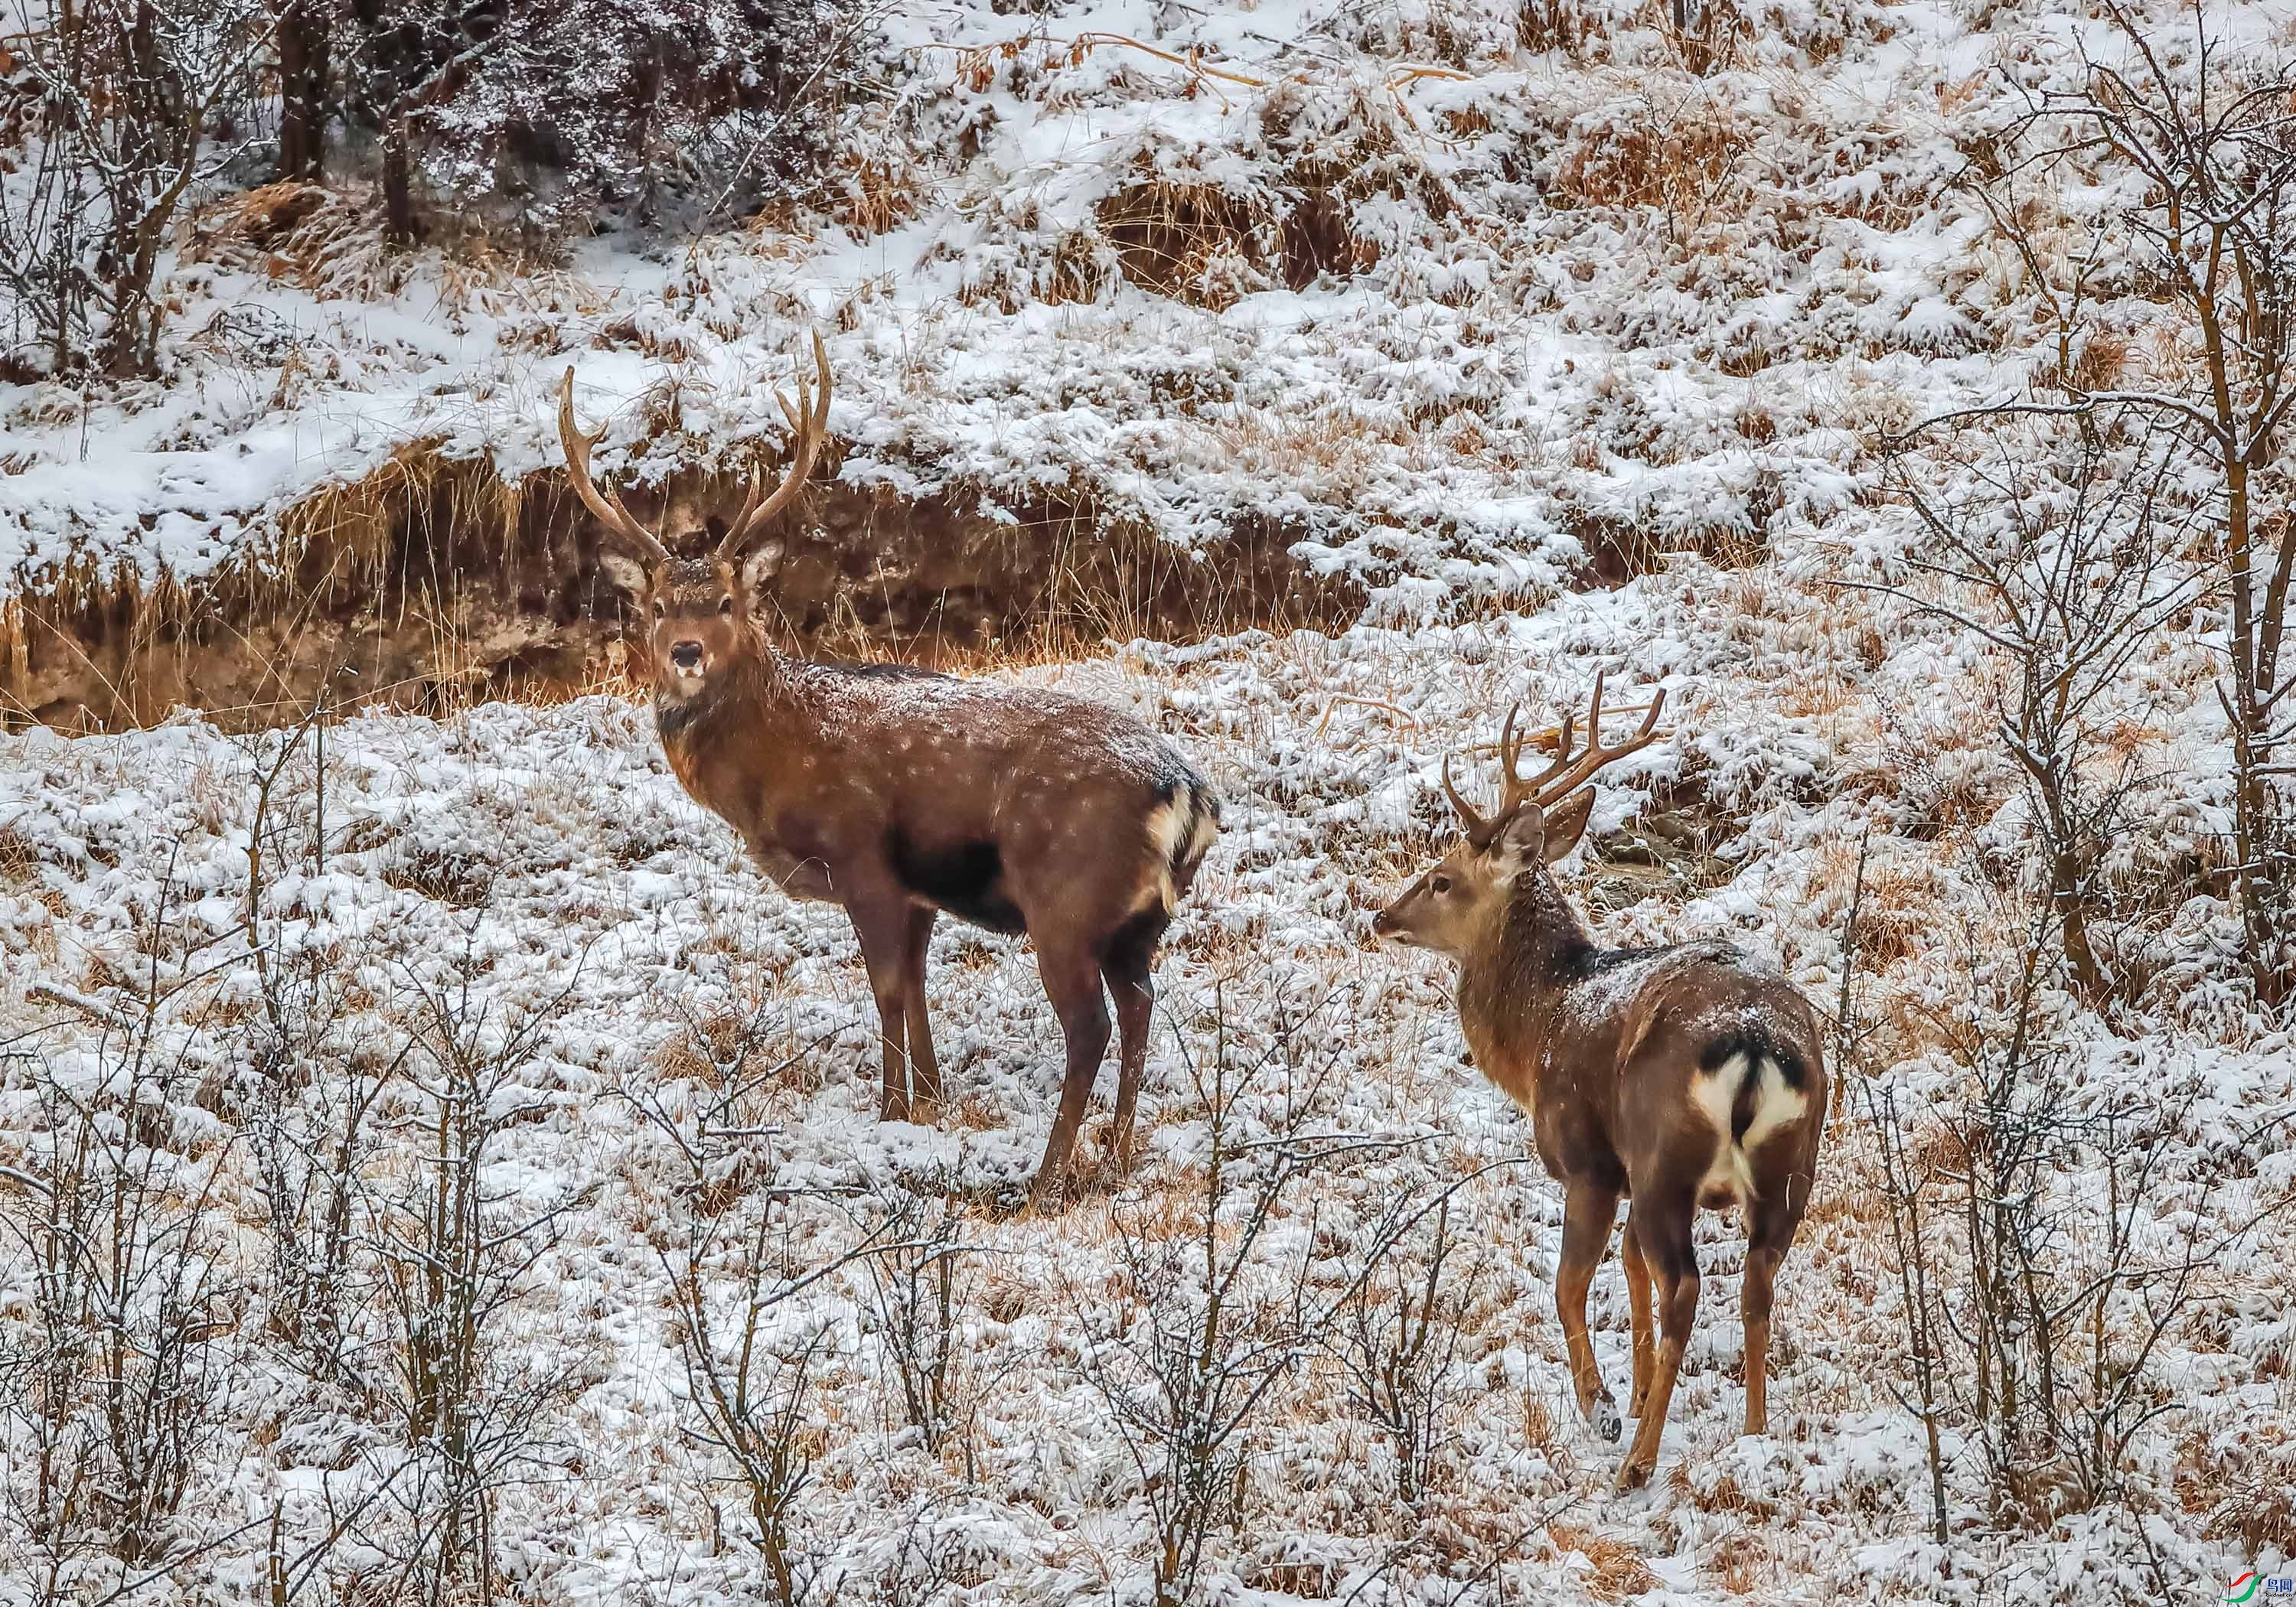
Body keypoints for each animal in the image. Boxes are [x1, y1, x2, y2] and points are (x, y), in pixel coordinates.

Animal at [560, 342, 1221, 1203]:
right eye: (659, 606)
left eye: (729, 603)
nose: (686, 653)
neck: (776, 760)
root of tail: (1186, 794)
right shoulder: (919, 891)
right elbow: (917, 985)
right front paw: (932, 1098)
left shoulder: (864, 859)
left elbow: (885, 990)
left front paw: (890, 1113)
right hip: (1137, 922)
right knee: (1141, 1008)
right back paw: (1114, 1156)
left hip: (1066, 898)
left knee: (1091, 1027)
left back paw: (1046, 1175)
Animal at [1359, 670, 1828, 1488]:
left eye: (1442, 879)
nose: (1383, 917)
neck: (1544, 1021)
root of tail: (1756, 1043)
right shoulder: (1628, 1171)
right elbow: (1630, 1270)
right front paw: (1636, 1394)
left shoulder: (1592, 1159)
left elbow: (1570, 1284)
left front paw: (1603, 1404)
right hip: (1789, 1166)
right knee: (1756, 1284)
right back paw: (1754, 1435)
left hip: (1668, 1156)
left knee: (1688, 1287)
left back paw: (1639, 1461)